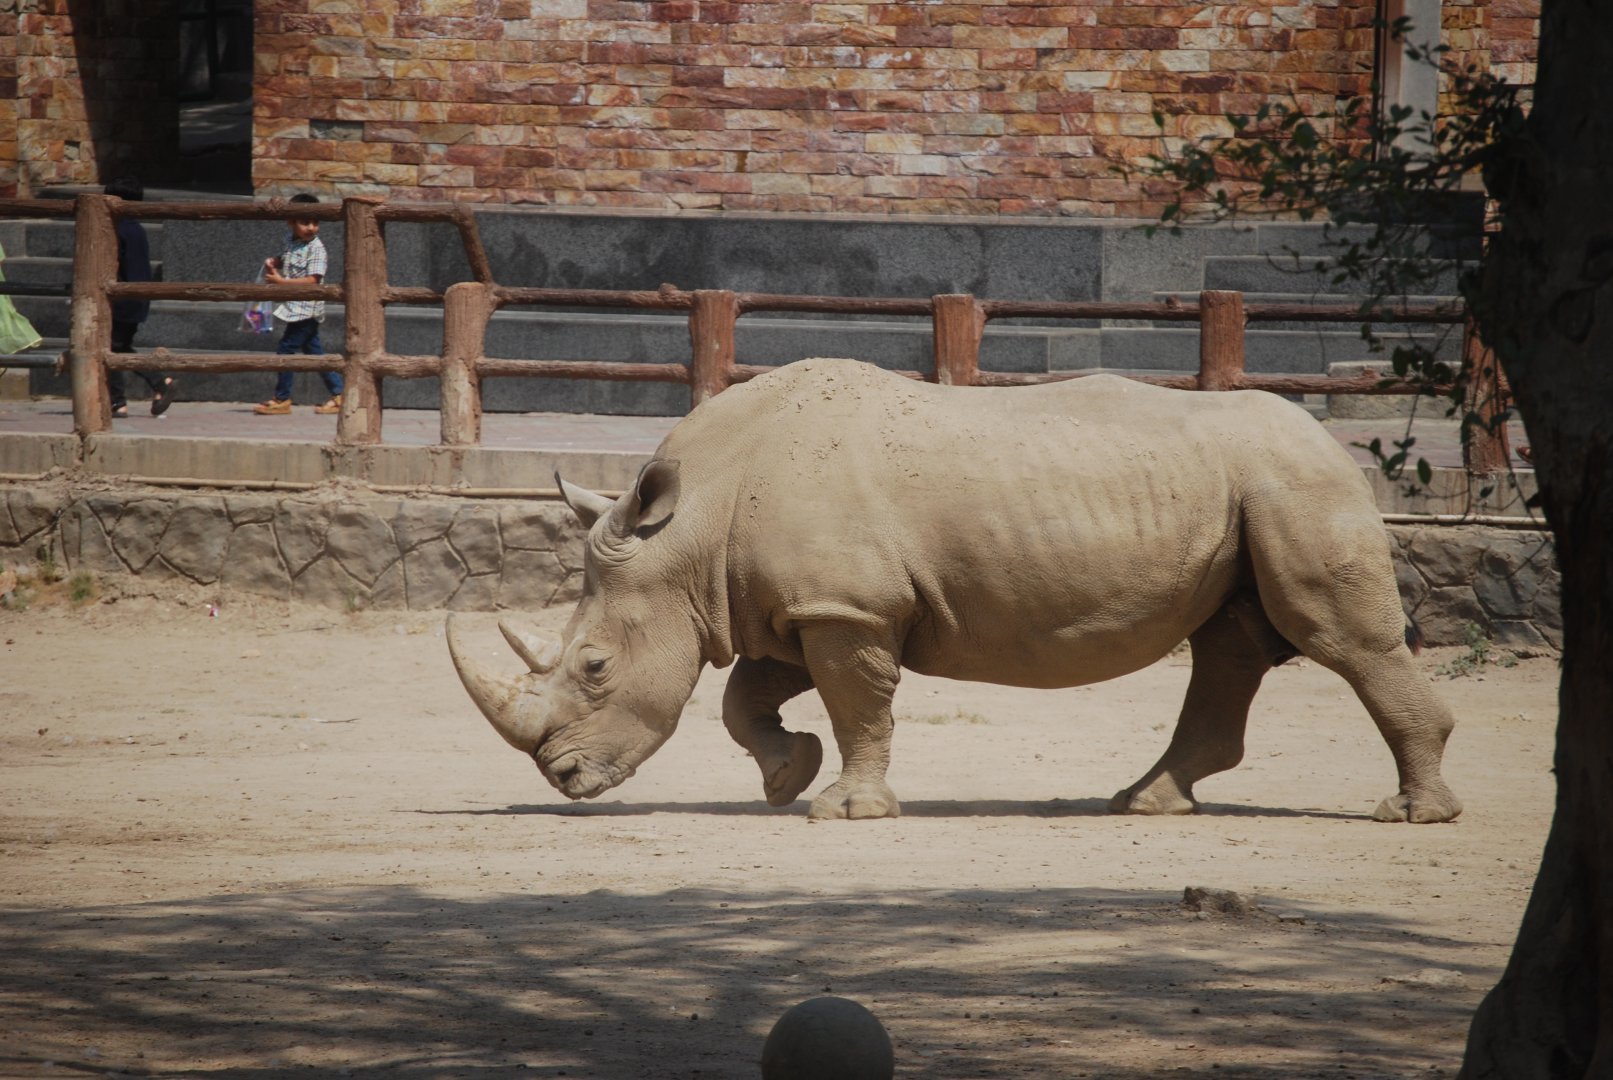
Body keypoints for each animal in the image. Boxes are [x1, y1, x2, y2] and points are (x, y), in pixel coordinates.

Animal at [448, 358, 1461, 824]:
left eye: (593, 666)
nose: (563, 780)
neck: (692, 528)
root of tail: (1333, 441)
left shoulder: (845, 607)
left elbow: (858, 705)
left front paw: (844, 811)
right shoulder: (800, 604)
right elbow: (748, 697)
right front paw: (785, 778)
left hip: (1297, 484)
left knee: (1339, 641)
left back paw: (1411, 816)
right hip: (1253, 490)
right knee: (1231, 642)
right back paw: (1143, 804)